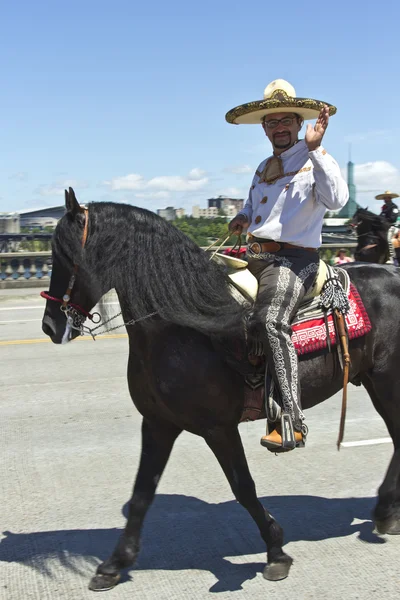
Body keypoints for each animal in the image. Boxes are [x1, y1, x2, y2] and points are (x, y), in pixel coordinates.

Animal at [41, 191, 400, 592]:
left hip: (388, 379)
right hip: (375, 381)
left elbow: (243, 487)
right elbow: (141, 494)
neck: (181, 326)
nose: (50, 325)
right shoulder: (158, 423)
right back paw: (387, 511)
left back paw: (384, 510)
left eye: (66, 255)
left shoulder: (219, 428)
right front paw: (114, 563)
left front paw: (276, 551)